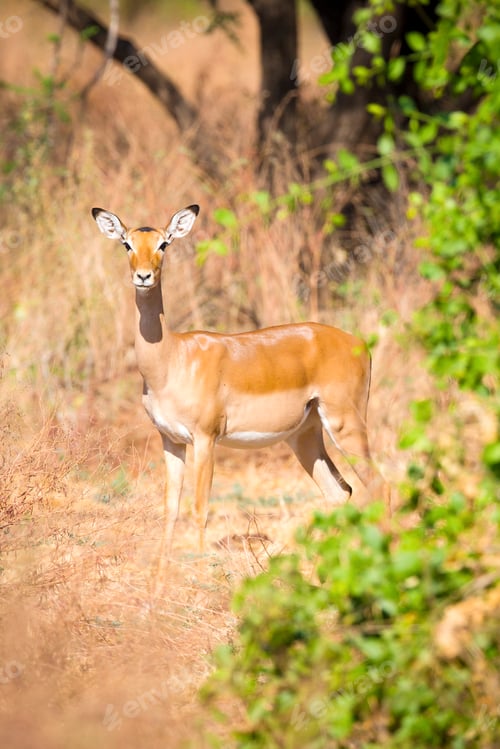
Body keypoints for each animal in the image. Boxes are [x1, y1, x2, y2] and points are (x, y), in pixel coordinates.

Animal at [92, 204, 387, 567]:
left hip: (346, 425)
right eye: (127, 244)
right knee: (340, 491)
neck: (171, 358)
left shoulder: (206, 439)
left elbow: (200, 508)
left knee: (379, 485)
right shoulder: (170, 440)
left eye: (164, 244)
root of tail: (360, 344)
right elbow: (170, 508)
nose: (144, 276)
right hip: (304, 437)